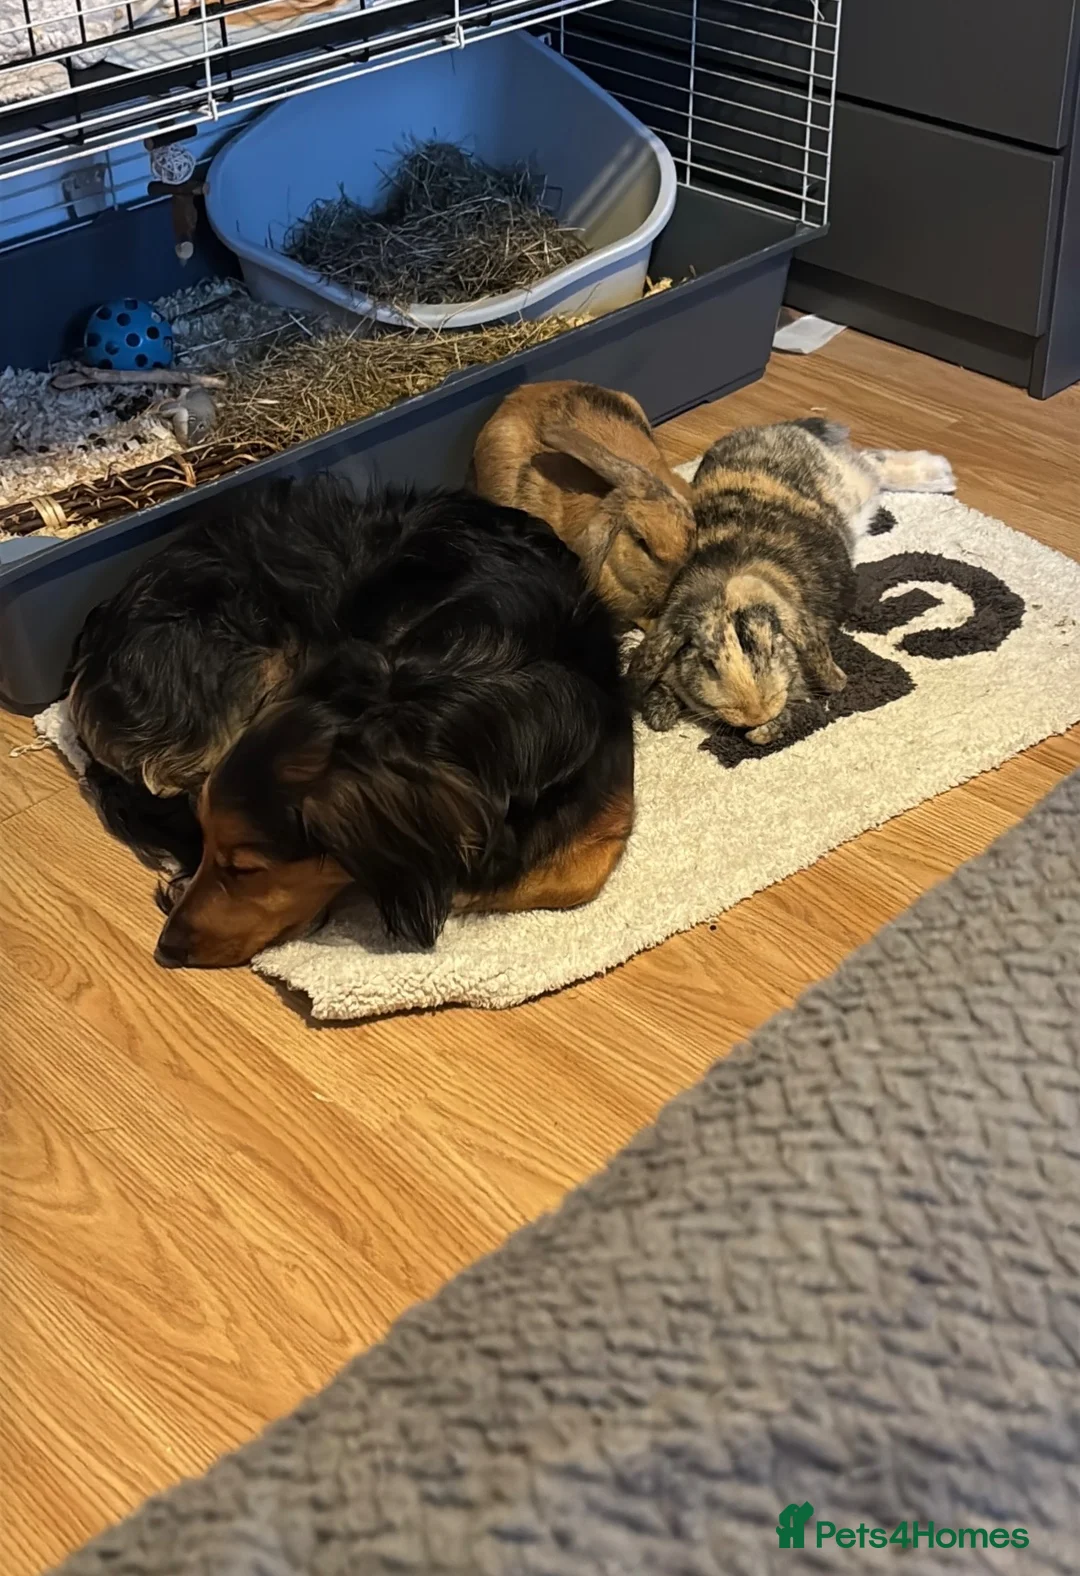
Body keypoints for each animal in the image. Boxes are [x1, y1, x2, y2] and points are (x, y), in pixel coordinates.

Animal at [628, 417, 956, 746]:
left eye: (773, 648)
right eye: (709, 663)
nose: (756, 714)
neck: (727, 586)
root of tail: (778, 427)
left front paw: (764, 731)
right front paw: (661, 713)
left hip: (851, 487)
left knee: (871, 462)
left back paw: (941, 475)